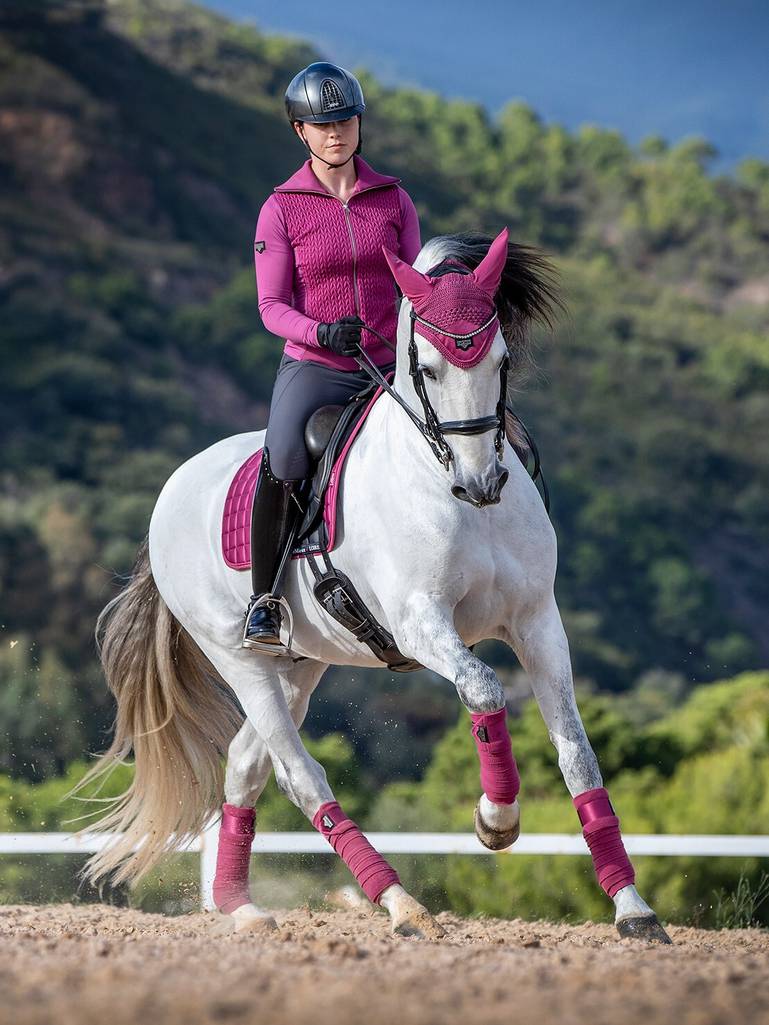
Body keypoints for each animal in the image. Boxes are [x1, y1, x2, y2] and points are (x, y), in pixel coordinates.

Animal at [81, 228, 672, 938]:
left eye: (500, 359)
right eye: (430, 367)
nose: (481, 483)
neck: (448, 487)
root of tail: (173, 489)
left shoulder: (537, 624)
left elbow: (578, 754)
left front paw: (633, 909)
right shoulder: (421, 624)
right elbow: (485, 688)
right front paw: (496, 820)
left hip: (301, 662)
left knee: (247, 764)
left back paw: (240, 906)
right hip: (238, 657)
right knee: (299, 772)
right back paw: (398, 903)